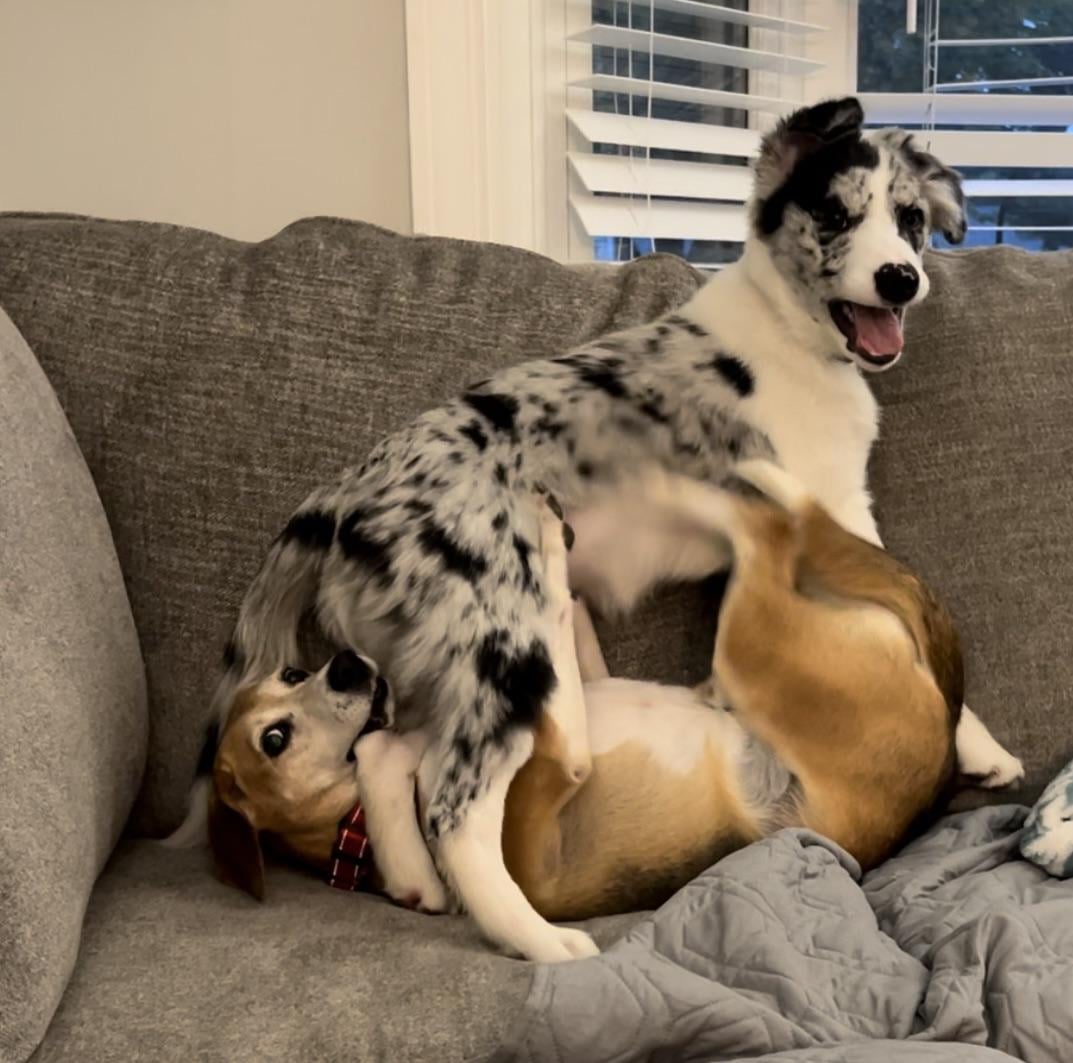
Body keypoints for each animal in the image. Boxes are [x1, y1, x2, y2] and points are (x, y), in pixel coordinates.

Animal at [175, 99, 1021, 965]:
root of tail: (344, 495)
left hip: (439, 668)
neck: (789, 331)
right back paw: (541, 939)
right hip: (508, 650)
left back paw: (416, 879)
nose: (900, 278)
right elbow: (902, 600)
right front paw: (976, 742)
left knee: (393, 754)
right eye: (834, 213)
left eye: (910, 220)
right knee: (458, 809)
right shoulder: (833, 502)